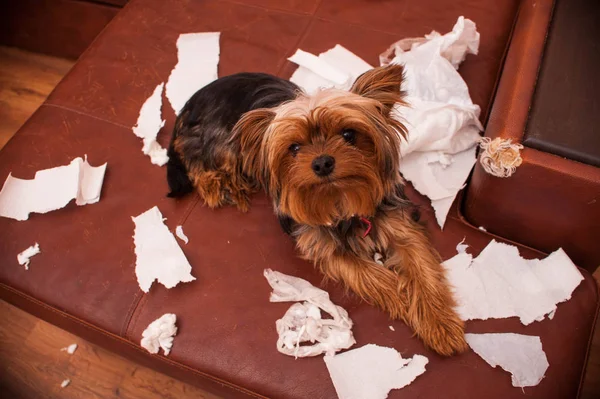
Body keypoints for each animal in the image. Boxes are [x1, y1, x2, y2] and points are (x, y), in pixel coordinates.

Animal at [166, 65, 466, 356]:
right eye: (294, 147)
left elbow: (422, 270)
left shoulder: (401, 225)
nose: (322, 163)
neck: (341, 200)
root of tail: (191, 104)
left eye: (348, 135)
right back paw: (220, 186)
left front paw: (440, 325)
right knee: (197, 161)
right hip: (222, 144)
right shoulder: (326, 248)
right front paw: (404, 296)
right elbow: (374, 277)